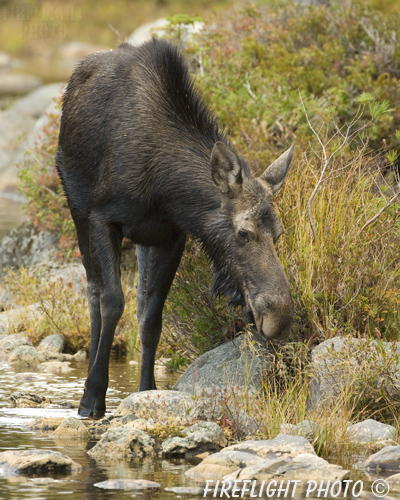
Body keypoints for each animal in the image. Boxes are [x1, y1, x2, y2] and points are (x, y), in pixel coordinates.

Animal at [56, 37, 294, 418]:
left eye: (280, 233)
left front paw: (147, 391)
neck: (164, 188)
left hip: (141, 239)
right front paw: (92, 397)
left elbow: (152, 317)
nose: (279, 318)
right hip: (76, 208)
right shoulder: (102, 218)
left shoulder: (171, 236)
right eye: (243, 233)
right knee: (93, 295)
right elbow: (111, 302)